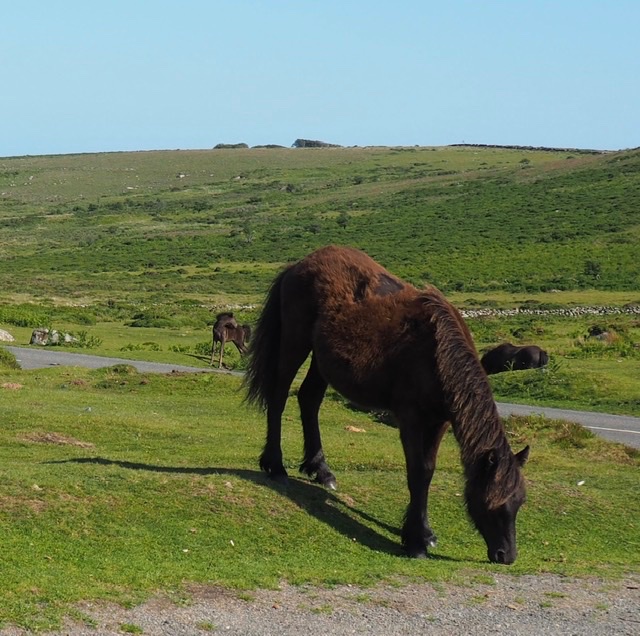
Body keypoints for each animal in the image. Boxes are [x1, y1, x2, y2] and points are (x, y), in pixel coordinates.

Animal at [244, 246, 529, 564]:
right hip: (295, 342)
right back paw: (275, 465)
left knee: (309, 398)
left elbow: (428, 471)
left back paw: (321, 469)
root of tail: (297, 265)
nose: (507, 555)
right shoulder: (410, 419)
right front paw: (415, 540)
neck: (437, 353)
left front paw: (425, 533)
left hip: (321, 358)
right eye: (493, 503)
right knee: (279, 396)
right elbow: (418, 472)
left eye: (519, 502)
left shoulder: (439, 422)